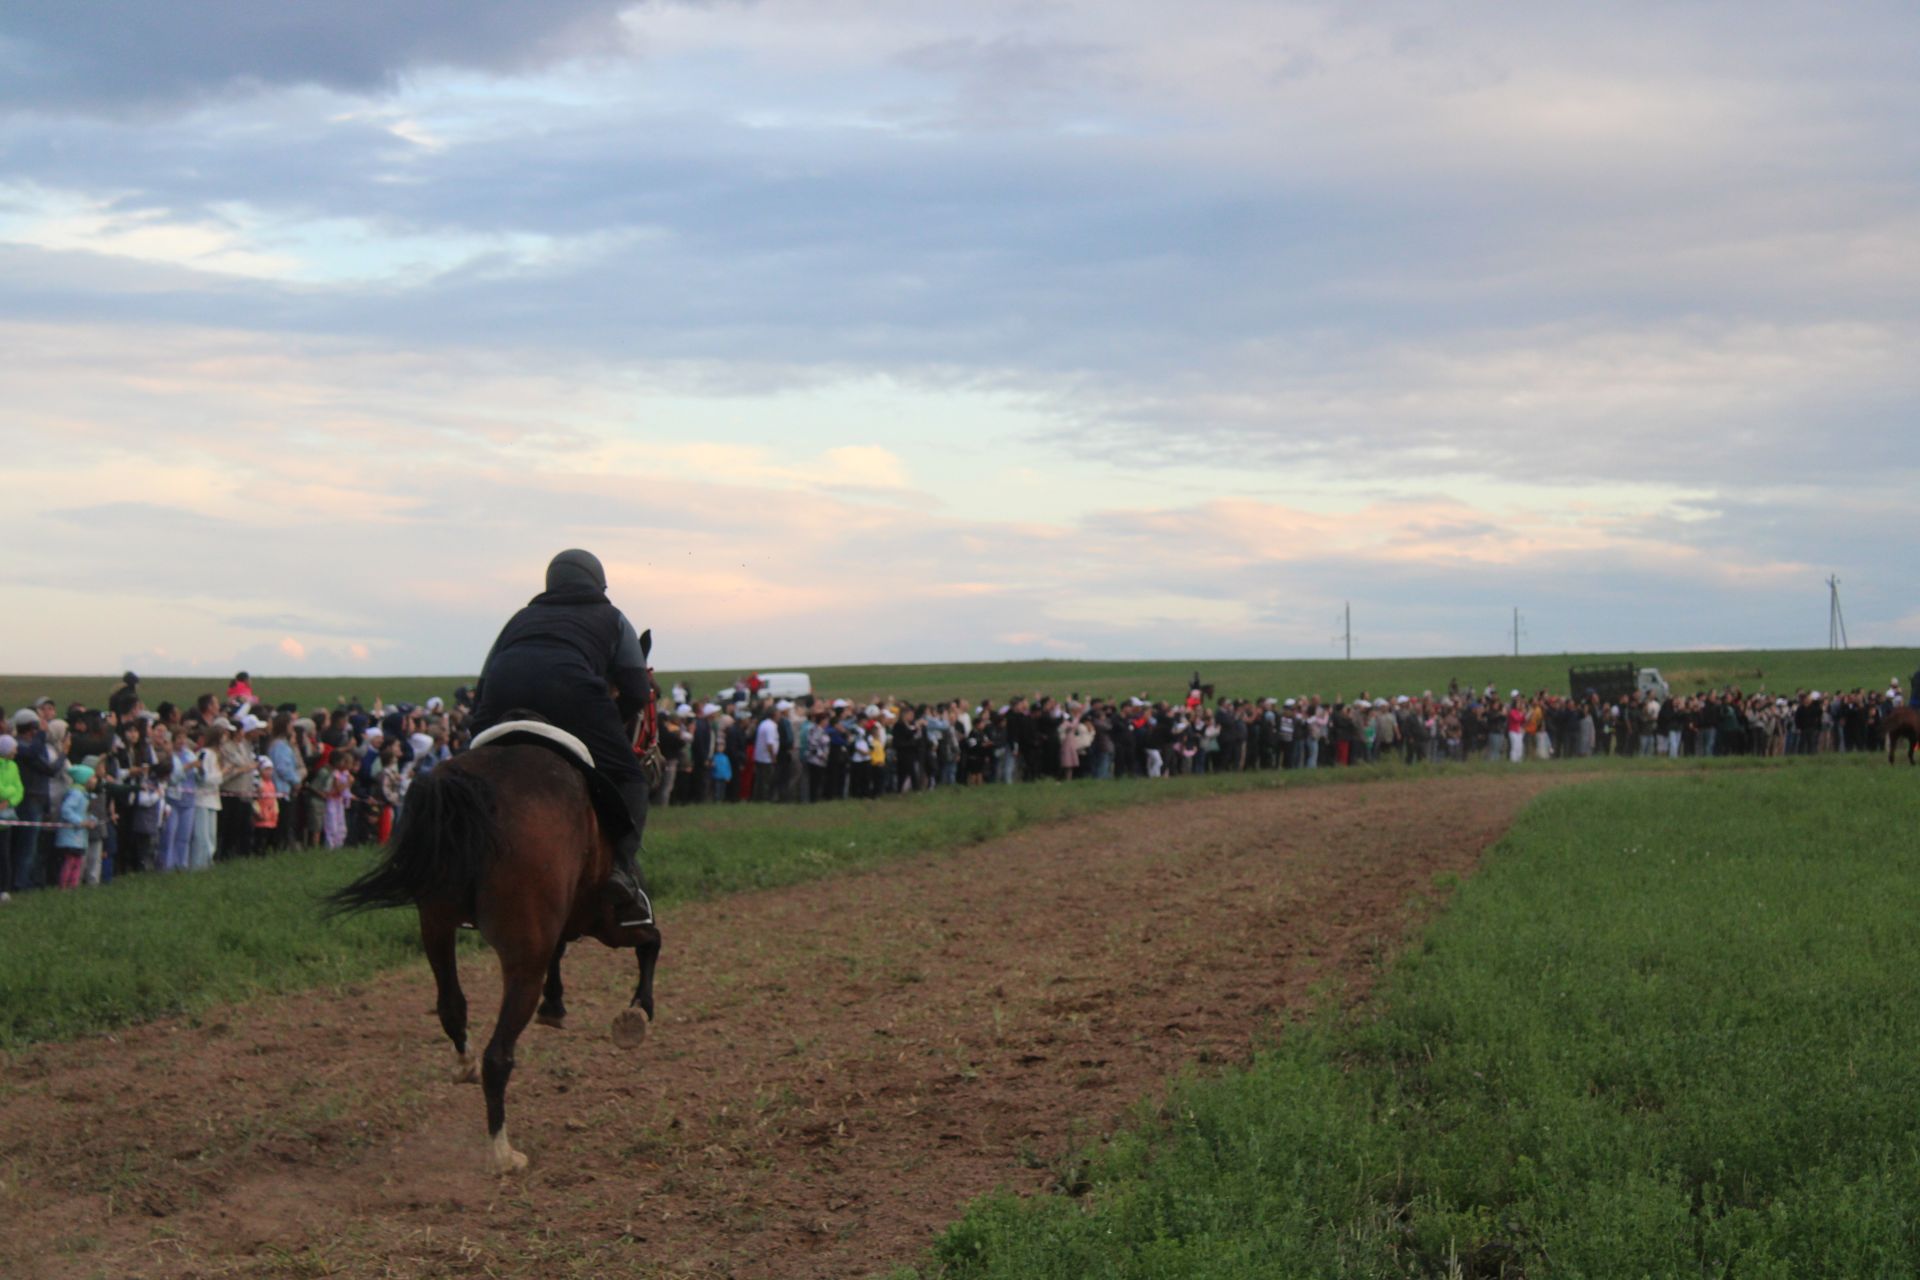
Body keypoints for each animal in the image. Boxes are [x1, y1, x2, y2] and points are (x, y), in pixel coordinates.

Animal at [326, 725, 664, 1174]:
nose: (657, 759)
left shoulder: (561, 926)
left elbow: (562, 954)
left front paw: (556, 1005)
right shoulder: (605, 921)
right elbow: (651, 941)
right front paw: (637, 1011)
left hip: (436, 925)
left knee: (452, 1006)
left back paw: (464, 1065)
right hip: (524, 957)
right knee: (499, 1055)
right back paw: (503, 1153)